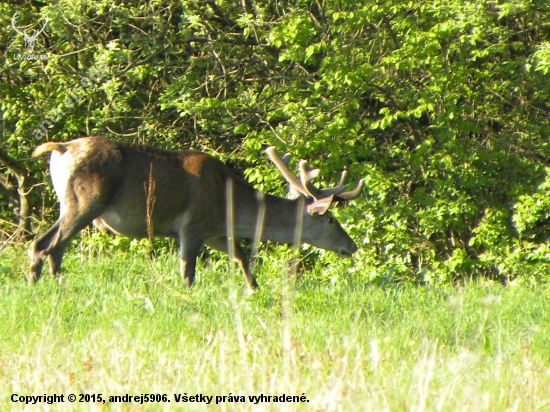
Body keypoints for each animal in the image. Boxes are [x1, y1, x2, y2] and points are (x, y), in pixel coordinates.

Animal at [30, 136, 366, 290]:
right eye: (331, 219)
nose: (351, 246)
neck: (229, 203)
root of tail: (60, 148)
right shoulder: (192, 226)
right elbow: (188, 271)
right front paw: (188, 293)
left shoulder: (214, 230)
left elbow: (240, 254)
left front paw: (254, 288)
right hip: (86, 202)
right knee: (48, 243)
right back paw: (46, 282)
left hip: (68, 203)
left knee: (48, 244)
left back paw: (45, 282)